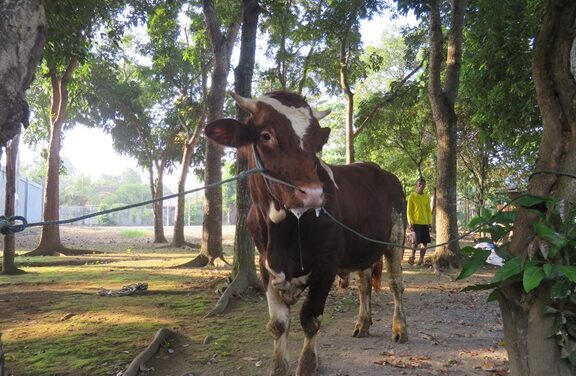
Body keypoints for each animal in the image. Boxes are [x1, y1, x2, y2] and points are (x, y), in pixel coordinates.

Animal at [205, 91, 408, 376]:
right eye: (266, 135)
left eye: (316, 143)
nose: (313, 194)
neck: (281, 231)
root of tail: (382, 172)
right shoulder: (265, 265)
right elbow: (278, 324)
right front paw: (279, 368)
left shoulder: (327, 264)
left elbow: (310, 317)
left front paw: (308, 364)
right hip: (362, 248)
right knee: (364, 284)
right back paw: (363, 324)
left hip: (395, 238)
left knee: (396, 285)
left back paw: (400, 328)